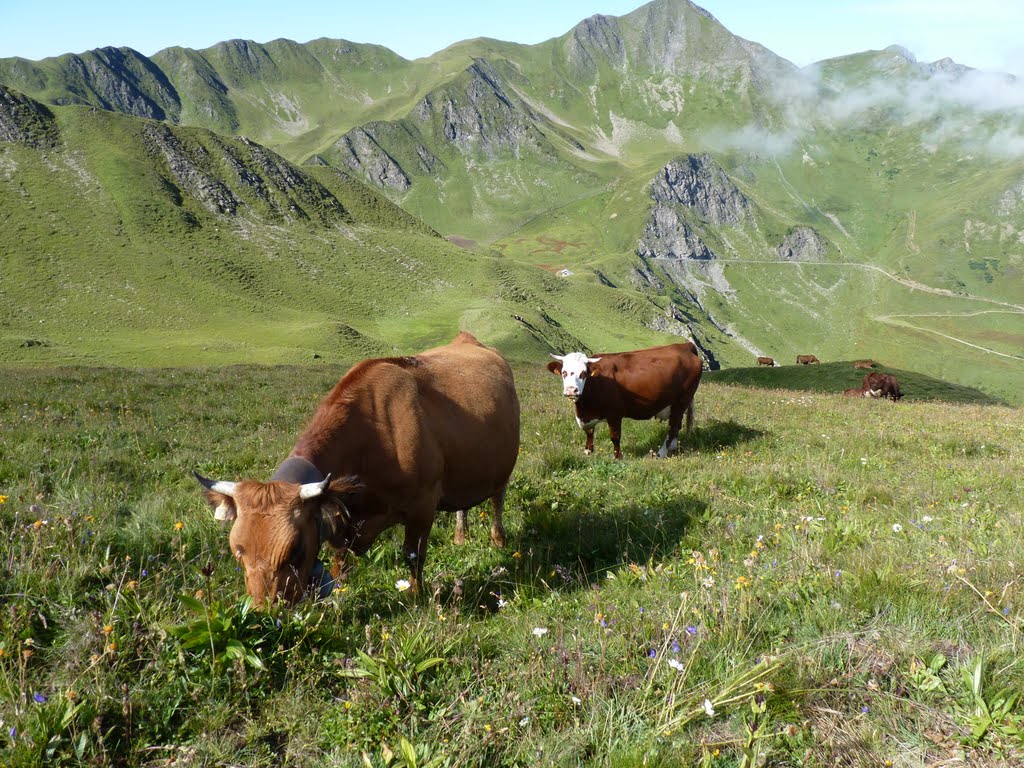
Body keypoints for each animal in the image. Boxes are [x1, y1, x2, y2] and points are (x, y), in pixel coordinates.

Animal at [196, 333, 524, 606]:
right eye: (238, 550)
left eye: (295, 549)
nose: (264, 612)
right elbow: (340, 562)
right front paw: (342, 594)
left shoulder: (423, 505)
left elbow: (413, 555)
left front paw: (416, 596)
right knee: (463, 505)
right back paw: (460, 536)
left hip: (502, 468)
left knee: (497, 500)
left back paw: (498, 539)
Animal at [544, 344, 704, 462]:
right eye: (564, 372)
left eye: (583, 373)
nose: (571, 390)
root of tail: (684, 345)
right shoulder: (587, 415)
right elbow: (589, 432)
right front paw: (588, 451)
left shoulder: (614, 413)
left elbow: (615, 437)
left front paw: (618, 457)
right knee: (677, 426)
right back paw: (672, 448)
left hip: (681, 401)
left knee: (673, 427)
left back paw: (661, 453)